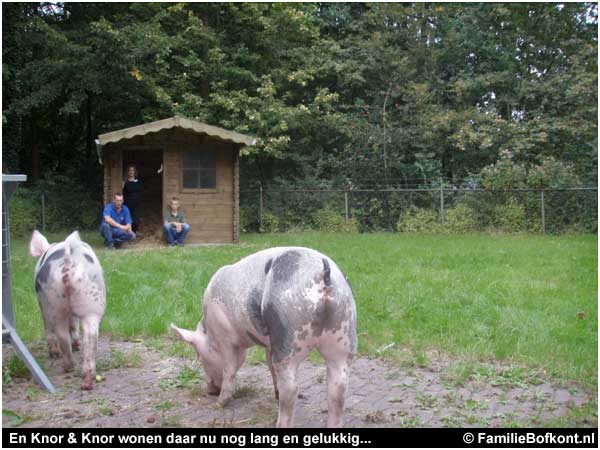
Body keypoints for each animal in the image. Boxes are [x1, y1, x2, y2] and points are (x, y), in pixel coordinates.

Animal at [29, 230, 106, 388]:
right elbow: (74, 325)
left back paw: (65, 366)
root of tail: (68, 262)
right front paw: (76, 345)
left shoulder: (42, 304)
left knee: (61, 334)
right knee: (90, 336)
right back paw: (87, 382)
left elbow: (50, 327)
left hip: (53, 303)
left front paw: (54, 353)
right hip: (93, 300)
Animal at [171, 248, 356, 428]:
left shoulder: (225, 337)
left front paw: (219, 404)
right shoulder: (270, 344)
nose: (210, 391)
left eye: (200, 356)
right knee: (338, 388)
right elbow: (269, 365)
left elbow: (229, 369)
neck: (210, 332)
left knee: (291, 389)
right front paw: (275, 394)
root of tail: (322, 274)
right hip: (344, 332)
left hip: (288, 332)